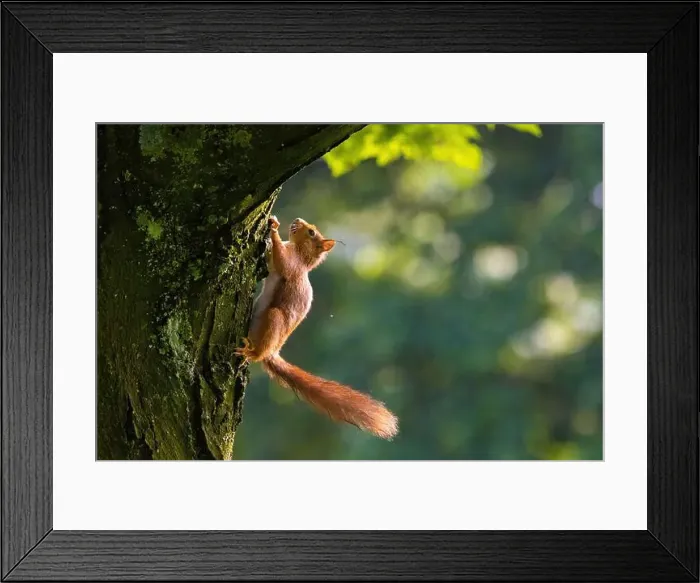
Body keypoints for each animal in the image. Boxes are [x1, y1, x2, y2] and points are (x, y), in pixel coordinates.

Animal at [235, 216, 399, 440]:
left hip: (274, 320)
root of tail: (273, 351)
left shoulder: (293, 265)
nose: (297, 219)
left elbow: (283, 262)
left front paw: (273, 228)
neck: (300, 253)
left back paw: (251, 352)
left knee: (261, 349)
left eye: (312, 232)